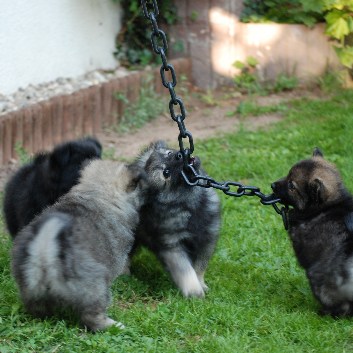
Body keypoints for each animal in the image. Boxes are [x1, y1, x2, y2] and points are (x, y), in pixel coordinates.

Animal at [11, 160, 146, 330]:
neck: (97, 193)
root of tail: (44, 249)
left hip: (30, 288)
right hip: (96, 287)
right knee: (91, 316)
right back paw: (113, 325)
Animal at [130, 140, 220, 296]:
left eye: (169, 153)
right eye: (166, 173)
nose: (179, 155)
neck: (189, 205)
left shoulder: (207, 239)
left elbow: (199, 266)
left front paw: (201, 283)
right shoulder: (173, 246)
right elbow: (185, 270)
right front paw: (194, 290)